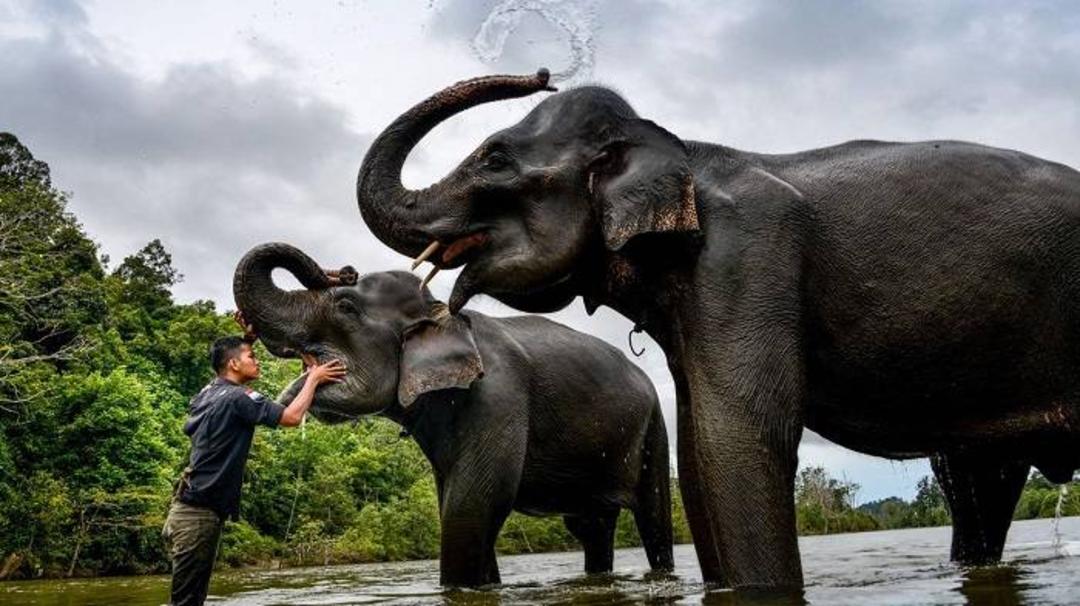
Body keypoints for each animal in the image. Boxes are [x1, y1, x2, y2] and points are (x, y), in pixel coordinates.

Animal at [232, 242, 674, 587]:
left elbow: (472, 504)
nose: (345, 268)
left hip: (655, 427)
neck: (442, 310)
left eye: (345, 306)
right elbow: (455, 503)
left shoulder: (498, 397)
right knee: (591, 527)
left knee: (653, 517)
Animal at [354, 69, 1080, 591]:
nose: (542, 74)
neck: (681, 151)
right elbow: (700, 447)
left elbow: (737, 434)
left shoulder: (749, 254)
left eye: (496, 159)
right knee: (980, 480)